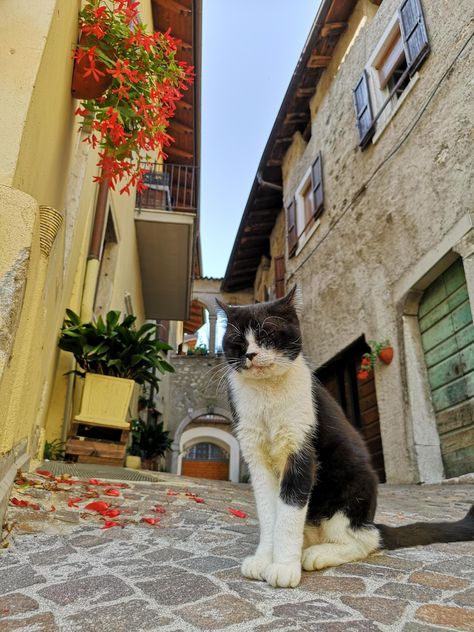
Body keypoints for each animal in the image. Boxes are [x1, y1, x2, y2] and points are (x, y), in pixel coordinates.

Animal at [218, 286, 474, 588]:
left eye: (267, 334)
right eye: (237, 341)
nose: (250, 354)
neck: (267, 396)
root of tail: (370, 520)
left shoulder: (301, 452)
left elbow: (289, 515)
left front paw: (283, 566)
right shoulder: (256, 457)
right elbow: (270, 514)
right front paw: (263, 560)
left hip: (353, 482)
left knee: (366, 540)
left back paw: (316, 554)